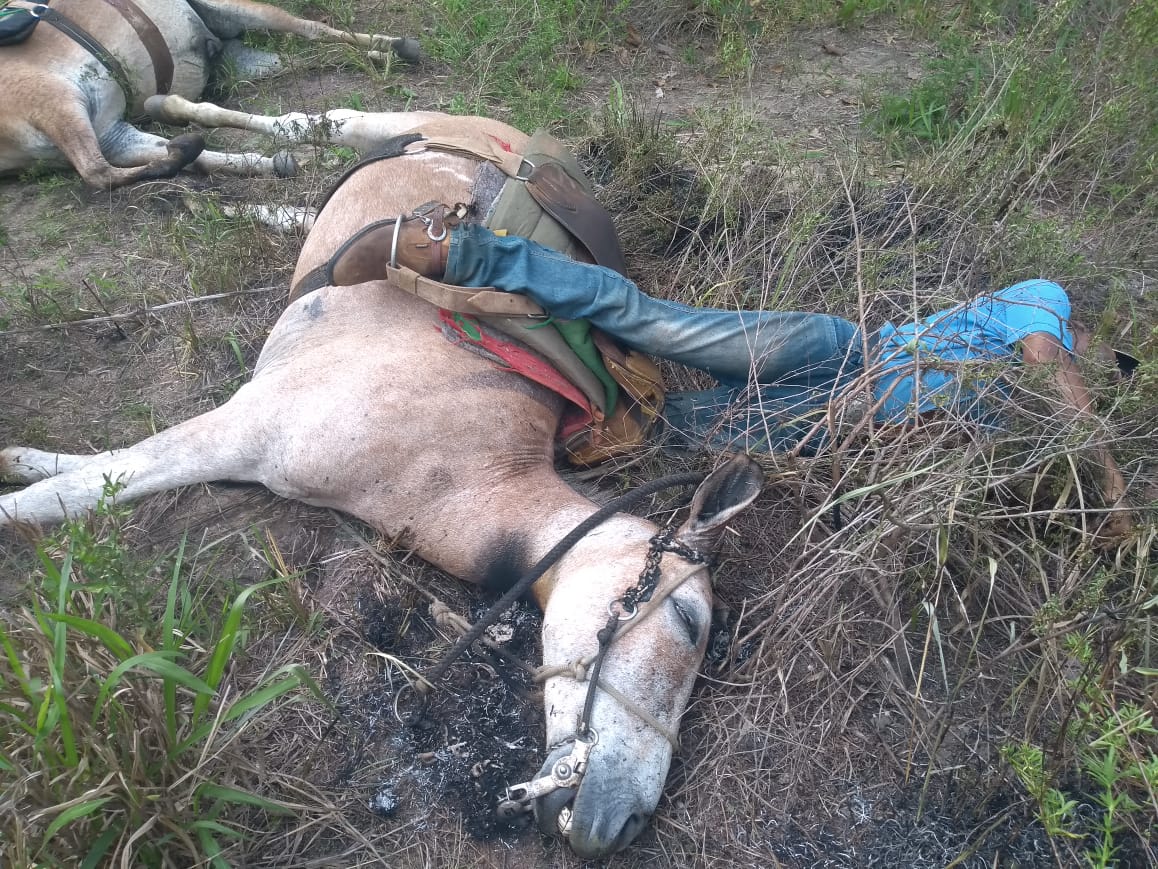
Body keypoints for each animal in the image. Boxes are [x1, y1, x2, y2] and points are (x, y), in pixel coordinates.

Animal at [2, 117, 768, 866]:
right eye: (689, 621)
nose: (625, 822)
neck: (453, 463)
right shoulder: (247, 427)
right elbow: (82, 489)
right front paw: (25, 478)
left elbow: (103, 471)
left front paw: (24, 457)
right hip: (386, 126)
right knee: (315, 124)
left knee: (303, 180)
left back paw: (219, 198)